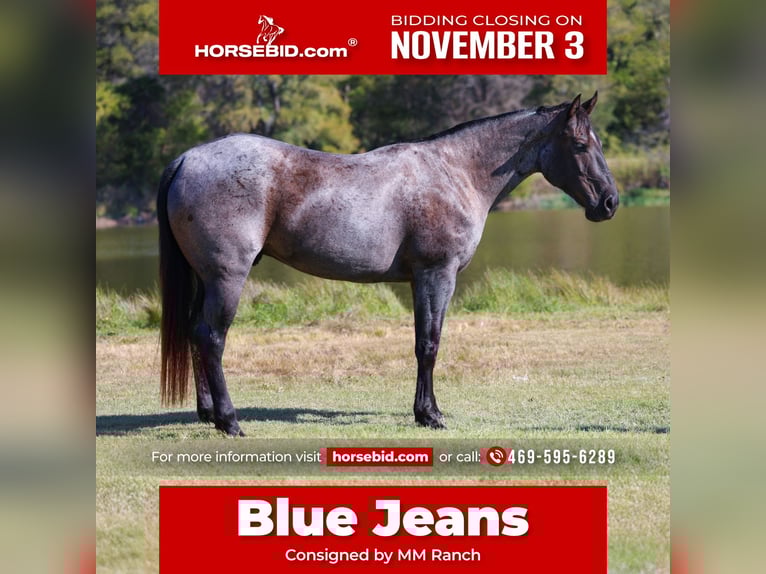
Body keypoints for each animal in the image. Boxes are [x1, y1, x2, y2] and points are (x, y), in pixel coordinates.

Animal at [157, 93, 619, 436]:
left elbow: (421, 343)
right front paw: (430, 415)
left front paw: (423, 410)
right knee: (212, 337)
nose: (610, 203)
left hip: (207, 278)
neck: (455, 172)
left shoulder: (418, 280)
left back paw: (208, 414)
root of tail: (187, 159)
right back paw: (230, 421)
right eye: (581, 145)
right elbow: (429, 345)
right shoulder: (437, 275)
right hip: (227, 277)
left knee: (196, 333)